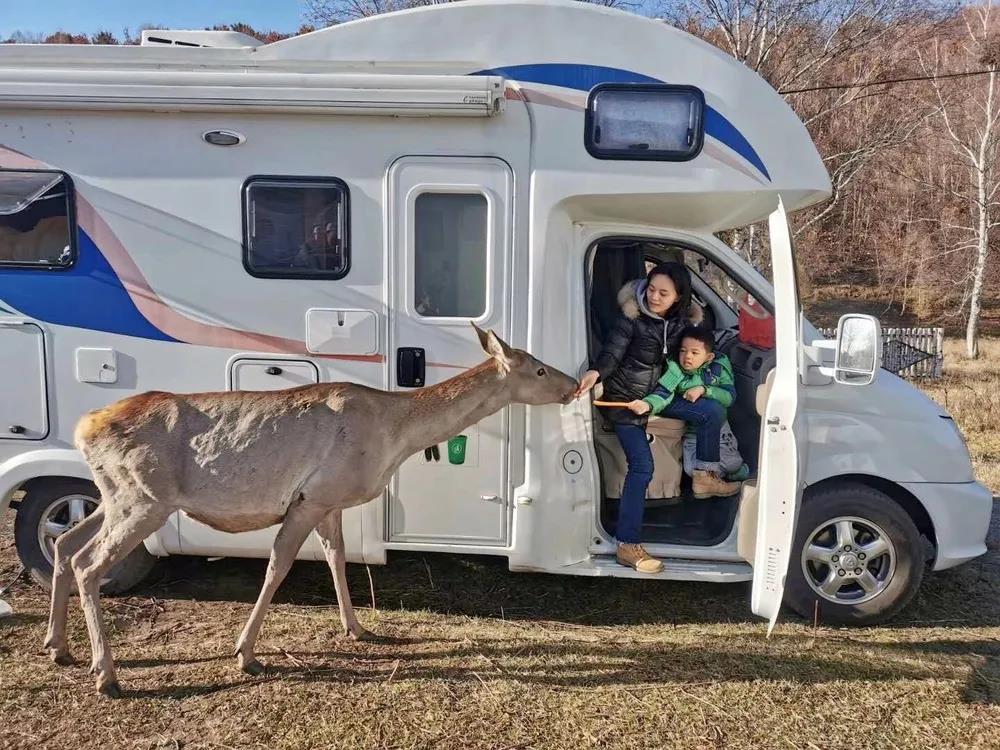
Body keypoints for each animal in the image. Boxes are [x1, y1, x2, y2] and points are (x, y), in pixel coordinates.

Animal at [45, 326, 580, 704]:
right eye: (537, 370)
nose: (575, 383)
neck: (394, 437)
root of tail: (83, 428)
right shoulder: (312, 496)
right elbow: (278, 566)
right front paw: (246, 654)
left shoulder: (331, 501)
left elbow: (338, 558)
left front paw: (359, 628)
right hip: (144, 499)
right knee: (88, 563)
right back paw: (106, 674)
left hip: (115, 495)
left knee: (64, 543)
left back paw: (58, 646)